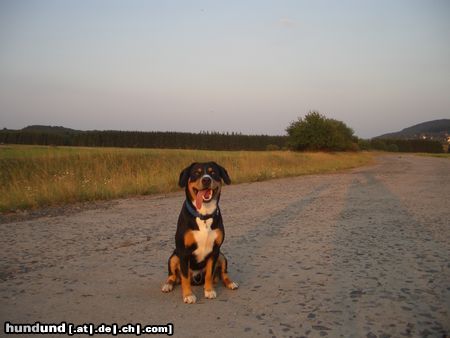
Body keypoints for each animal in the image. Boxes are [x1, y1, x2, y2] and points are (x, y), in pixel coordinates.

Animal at [162, 161, 239, 304]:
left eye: (213, 172)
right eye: (196, 173)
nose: (206, 179)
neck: (204, 215)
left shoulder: (215, 251)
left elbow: (209, 274)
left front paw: (209, 291)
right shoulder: (183, 252)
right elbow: (185, 277)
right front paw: (188, 295)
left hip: (222, 256)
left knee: (223, 274)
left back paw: (231, 283)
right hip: (174, 257)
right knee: (172, 276)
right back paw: (167, 285)